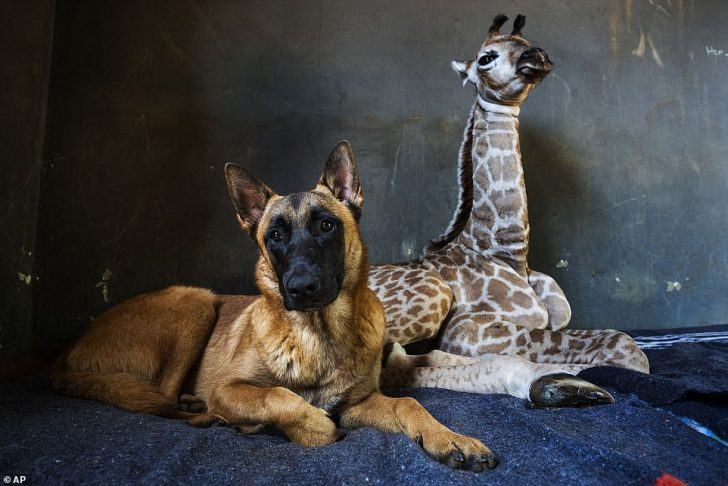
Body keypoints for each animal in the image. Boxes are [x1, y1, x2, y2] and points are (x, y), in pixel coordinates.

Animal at [49, 142, 494, 472]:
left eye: (327, 226)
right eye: (275, 236)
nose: (301, 288)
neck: (318, 333)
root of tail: (66, 355)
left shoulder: (358, 405)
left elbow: (408, 403)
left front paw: (449, 438)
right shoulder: (229, 388)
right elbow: (278, 396)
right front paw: (310, 425)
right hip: (196, 301)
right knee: (164, 398)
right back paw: (212, 414)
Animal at [370, 15, 648, 402]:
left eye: (527, 42)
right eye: (486, 58)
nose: (538, 56)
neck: (507, 253)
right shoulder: (467, 329)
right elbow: (622, 348)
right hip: (431, 295)